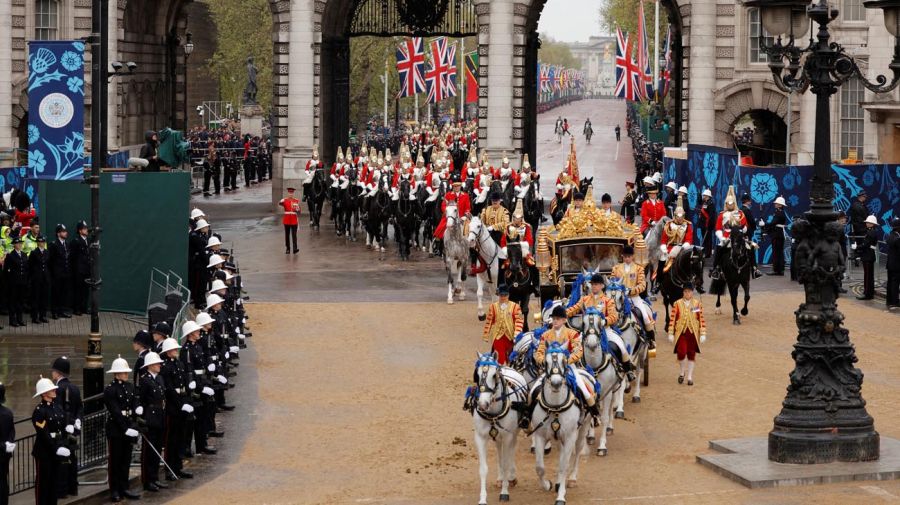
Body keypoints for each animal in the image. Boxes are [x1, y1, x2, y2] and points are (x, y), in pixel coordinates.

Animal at [468, 350, 532, 504]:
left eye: (494, 375)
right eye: (477, 375)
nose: (482, 404)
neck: (493, 412)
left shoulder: (508, 436)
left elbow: (507, 460)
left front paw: (504, 492)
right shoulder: (480, 437)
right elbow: (483, 468)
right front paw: (482, 498)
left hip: (513, 432)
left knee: (511, 451)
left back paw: (511, 477)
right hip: (497, 435)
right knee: (499, 450)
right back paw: (501, 477)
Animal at [532, 340, 596, 502]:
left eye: (564, 361)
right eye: (546, 362)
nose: (556, 383)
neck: (555, 407)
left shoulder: (569, 437)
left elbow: (563, 466)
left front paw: (561, 496)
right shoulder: (540, 435)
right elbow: (539, 467)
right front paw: (547, 485)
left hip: (583, 428)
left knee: (577, 451)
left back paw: (572, 479)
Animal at [580, 308, 624, 456]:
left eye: (600, 323)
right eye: (583, 323)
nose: (592, 344)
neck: (594, 367)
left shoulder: (608, 392)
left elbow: (604, 417)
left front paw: (602, 446)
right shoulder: (589, 394)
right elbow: (588, 418)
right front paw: (588, 440)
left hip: (614, 389)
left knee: (610, 408)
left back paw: (610, 427)